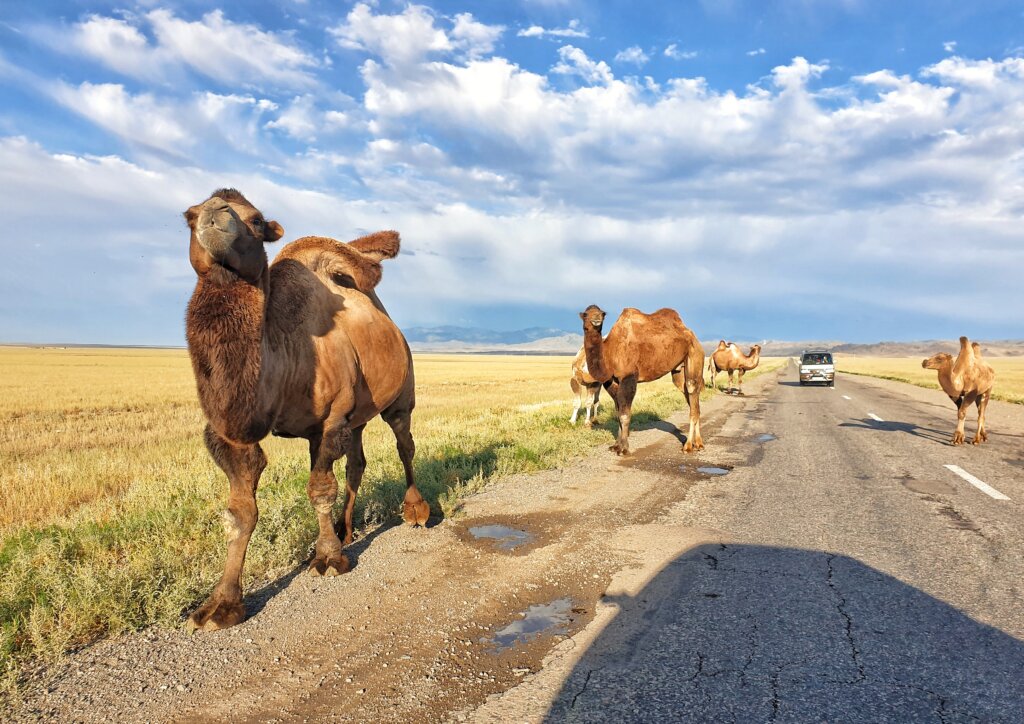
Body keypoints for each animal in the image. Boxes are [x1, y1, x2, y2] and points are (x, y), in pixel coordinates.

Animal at [180, 189, 428, 630]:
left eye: (256, 220)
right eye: (189, 216)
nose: (213, 215)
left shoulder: (330, 419)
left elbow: (319, 489)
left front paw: (328, 558)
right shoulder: (232, 433)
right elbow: (240, 512)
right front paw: (220, 604)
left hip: (402, 394)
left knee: (404, 444)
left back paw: (416, 511)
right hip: (356, 417)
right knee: (357, 463)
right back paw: (347, 531)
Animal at [577, 309, 704, 456]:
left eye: (601, 313)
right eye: (586, 314)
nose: (596, 319)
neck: (610, 350)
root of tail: (694, 337)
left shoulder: (629, 377)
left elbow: (624, 414)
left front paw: (623, 448)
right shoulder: (613, 382)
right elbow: (618, 412)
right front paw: (616, 446)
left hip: (694, 354)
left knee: (692, 390)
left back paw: (688, 446)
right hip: (679, 371)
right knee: (692, 400)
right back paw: (698, 444)